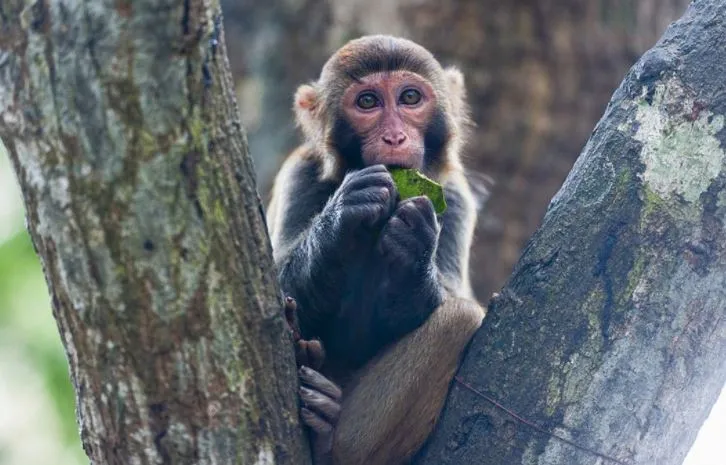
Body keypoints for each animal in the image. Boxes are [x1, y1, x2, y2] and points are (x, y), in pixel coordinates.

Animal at [266, 35, 486, 465]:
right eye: (368, 102)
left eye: (410, 97)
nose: (395, 138)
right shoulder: (300, 174)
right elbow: (276, 288)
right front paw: (342, 214)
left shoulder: (454, 196)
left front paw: (415, 247)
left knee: (462, 317)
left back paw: (332, 441)